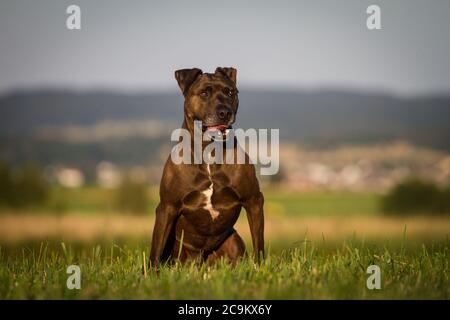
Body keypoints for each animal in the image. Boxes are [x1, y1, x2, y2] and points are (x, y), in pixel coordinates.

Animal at [149, 67, 264, 268]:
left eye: (231, 92)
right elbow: (155, 250)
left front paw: (260, 269)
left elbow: (259, 244)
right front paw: (149, 273)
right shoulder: (167, 206)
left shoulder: (254, 200)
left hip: (233, 241)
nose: (225, 112)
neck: (209, 151)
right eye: (204, 93)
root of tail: (198, 261)